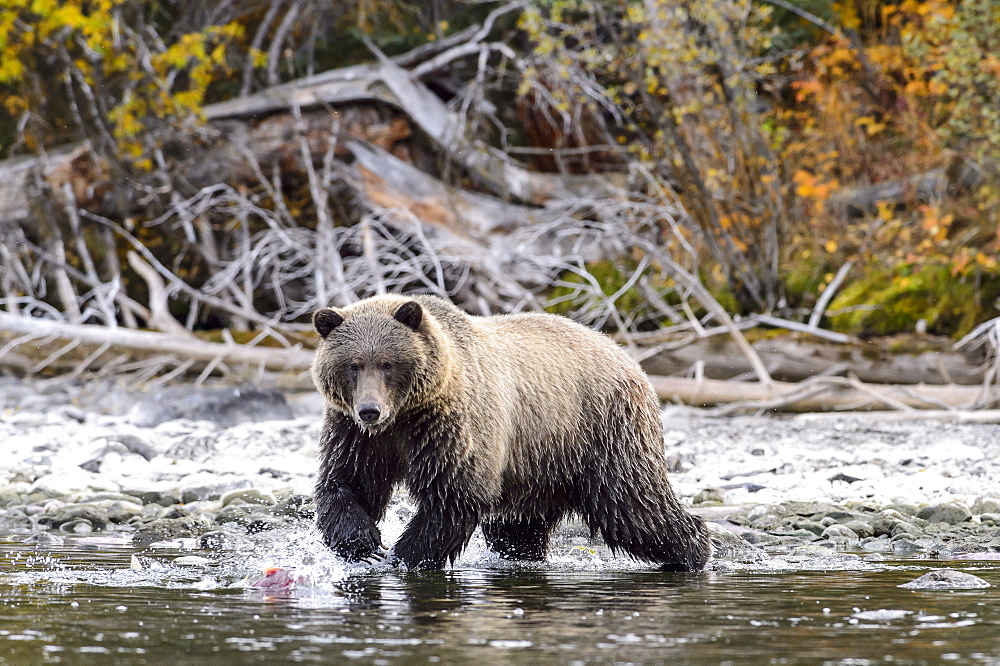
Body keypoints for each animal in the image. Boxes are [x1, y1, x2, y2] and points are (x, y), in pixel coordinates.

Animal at [312, 294, 712, 568]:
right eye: (352, 365)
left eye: (388, 363)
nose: (370, 409)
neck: (404, 415)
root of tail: (627, 355)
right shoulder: (358, 435)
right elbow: (346, 482)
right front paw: (363, 543)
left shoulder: (451, 426)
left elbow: (454, 495)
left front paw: (402, 556)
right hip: (541, 461)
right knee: (519, 529)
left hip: (604, 430)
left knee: (634, 505)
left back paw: (694, 551)